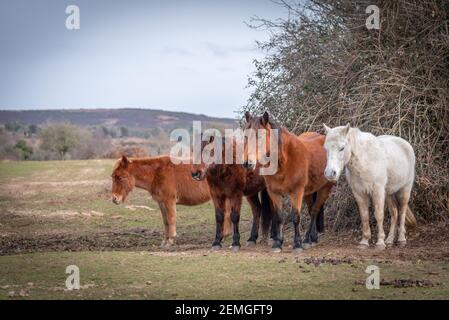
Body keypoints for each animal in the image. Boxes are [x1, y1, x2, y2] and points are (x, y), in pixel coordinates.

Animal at [242, 111, 332, 254]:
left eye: (260, 136)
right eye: (245, 136)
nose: (247, 163)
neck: (285, 160)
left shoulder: (297, 192)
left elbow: (295, 217)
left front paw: (297, 244)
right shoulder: (274, 192)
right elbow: (279, 216)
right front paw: (278, 243)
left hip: (325, 189)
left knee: (314, 211)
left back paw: (307, 240)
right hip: (309, 192)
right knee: (312, 209)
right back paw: (312, 239)